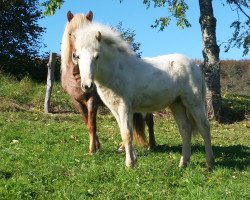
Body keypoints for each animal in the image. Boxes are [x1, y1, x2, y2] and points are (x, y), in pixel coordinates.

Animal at [60, 10, 155, 154]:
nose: (76, 56)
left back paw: (151, 145)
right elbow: (87, 123)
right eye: (71, 34)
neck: (77, 76)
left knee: (149, 120)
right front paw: (97, 146)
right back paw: (123, 146)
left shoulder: (92, 100)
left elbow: (92, 125)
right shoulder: (76, 101)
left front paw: (92, 150)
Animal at [71, 22, 215, 168]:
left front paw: (129, 164)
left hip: (194, 102)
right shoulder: (115, 109)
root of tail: (195, 66)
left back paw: (210, 163)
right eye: (77, 56)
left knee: (204, 128)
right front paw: (133, 160)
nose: (87, 86)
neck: (116, 70)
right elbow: (123, 132)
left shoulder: (125, 107)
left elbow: (127, 133)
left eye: (96, 56)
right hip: (177, 104)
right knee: (185, 129)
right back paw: (183, 163)